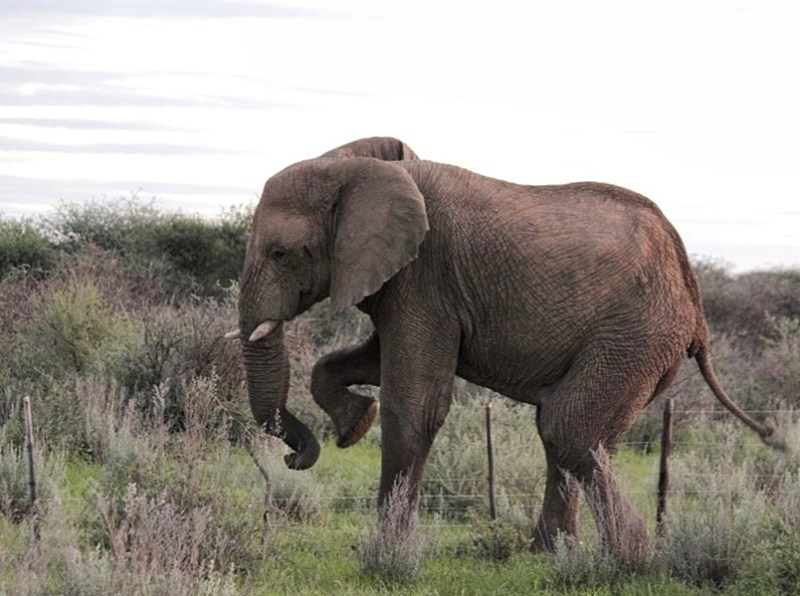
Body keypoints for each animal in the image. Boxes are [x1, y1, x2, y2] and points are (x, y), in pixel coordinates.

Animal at [227, 136, 777, 555]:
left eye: (282, 253)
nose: (293, 460)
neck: (358, 167)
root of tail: (693, 296)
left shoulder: (427, 275)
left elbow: (413, 407)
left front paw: (386, 552)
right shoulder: (411, 285)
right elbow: (358, 361)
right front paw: (355, 422)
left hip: (635, 334)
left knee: (570, 429)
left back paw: (628, 559)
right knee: (563, 429)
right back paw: (553, 554)